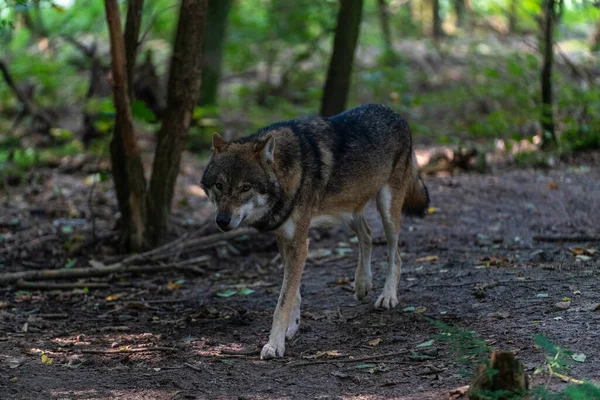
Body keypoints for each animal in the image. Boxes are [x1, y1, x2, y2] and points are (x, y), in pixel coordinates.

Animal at [203, 103, 432, 360]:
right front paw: (291, 328)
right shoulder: (285, 238)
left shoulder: (299, 243)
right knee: (367, 234)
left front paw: (274, 344)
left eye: (245, 188)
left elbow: (282, 300)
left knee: (396, 254)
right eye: (219, 186)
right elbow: (293, 292)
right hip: (349, 210)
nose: (222, 221)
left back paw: (388, 296)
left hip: (387, 208)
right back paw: (362, 284)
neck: (285, 172)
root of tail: (394, 112)